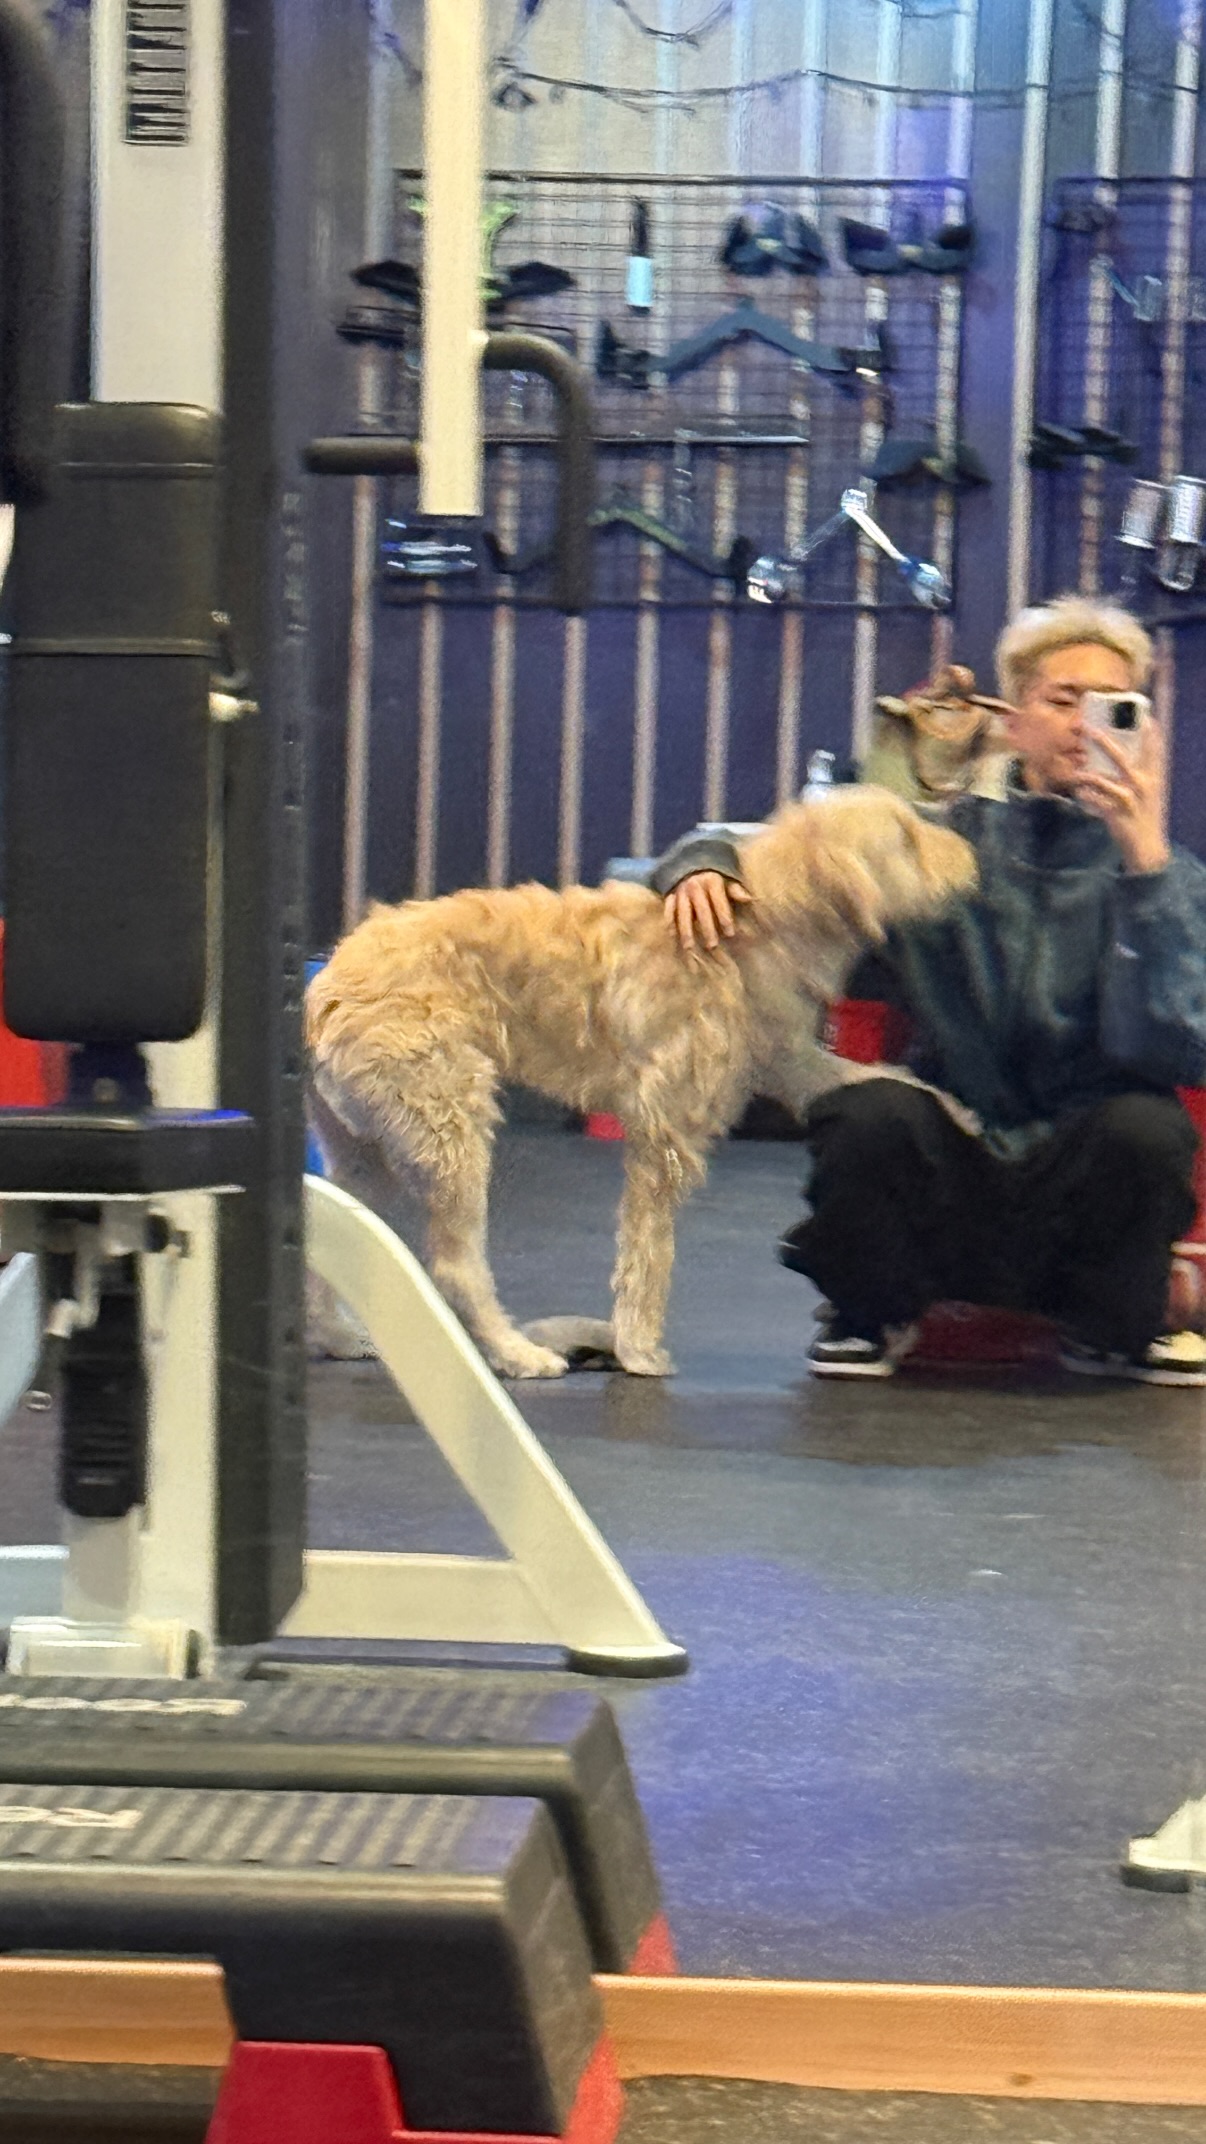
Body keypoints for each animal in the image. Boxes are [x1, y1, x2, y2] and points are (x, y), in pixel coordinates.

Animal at [305, 786, 977, 1380]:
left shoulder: (793, 1064)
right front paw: (638, 1348)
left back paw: (338, 1337)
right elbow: (648, 1254)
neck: (762, 920)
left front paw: (966, 1116)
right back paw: (516, 1353)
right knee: (455, 1267)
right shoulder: (665, 1136)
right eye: (906, 837)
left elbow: (894, 1078)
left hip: (367, 1153)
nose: (970, 856)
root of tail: (324, 986)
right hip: (449, 1131)